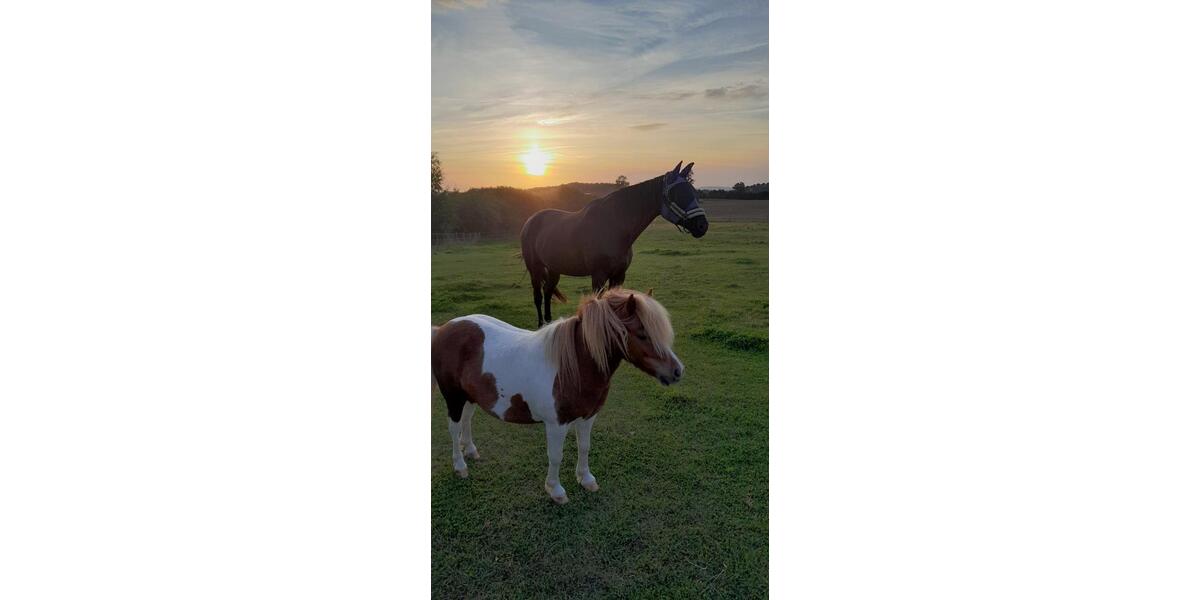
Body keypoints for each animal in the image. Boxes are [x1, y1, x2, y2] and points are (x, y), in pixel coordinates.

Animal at [431, 287, 682, 504]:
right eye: (642, 334)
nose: (677, 371)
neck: (574, 365)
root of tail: (442, 329)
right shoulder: (556, 424)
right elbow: (556, 456)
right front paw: (556, 490)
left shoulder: (588, 418)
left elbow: (584, 447)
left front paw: (586, 479)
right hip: (453, 397)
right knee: (454, 428)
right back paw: (460, 465)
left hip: (469, 396)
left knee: (467, 420)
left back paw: (471, 450)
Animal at [520, 161, 708, 327]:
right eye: (676, 193)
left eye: (692, 191)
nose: (702, 225)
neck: (614, 227)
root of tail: (530, 221)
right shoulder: (599, 276)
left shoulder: (619, 275)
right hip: (535, 268)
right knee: (538, 296)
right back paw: (541, 325)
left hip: (554, 269)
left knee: (547, 292)